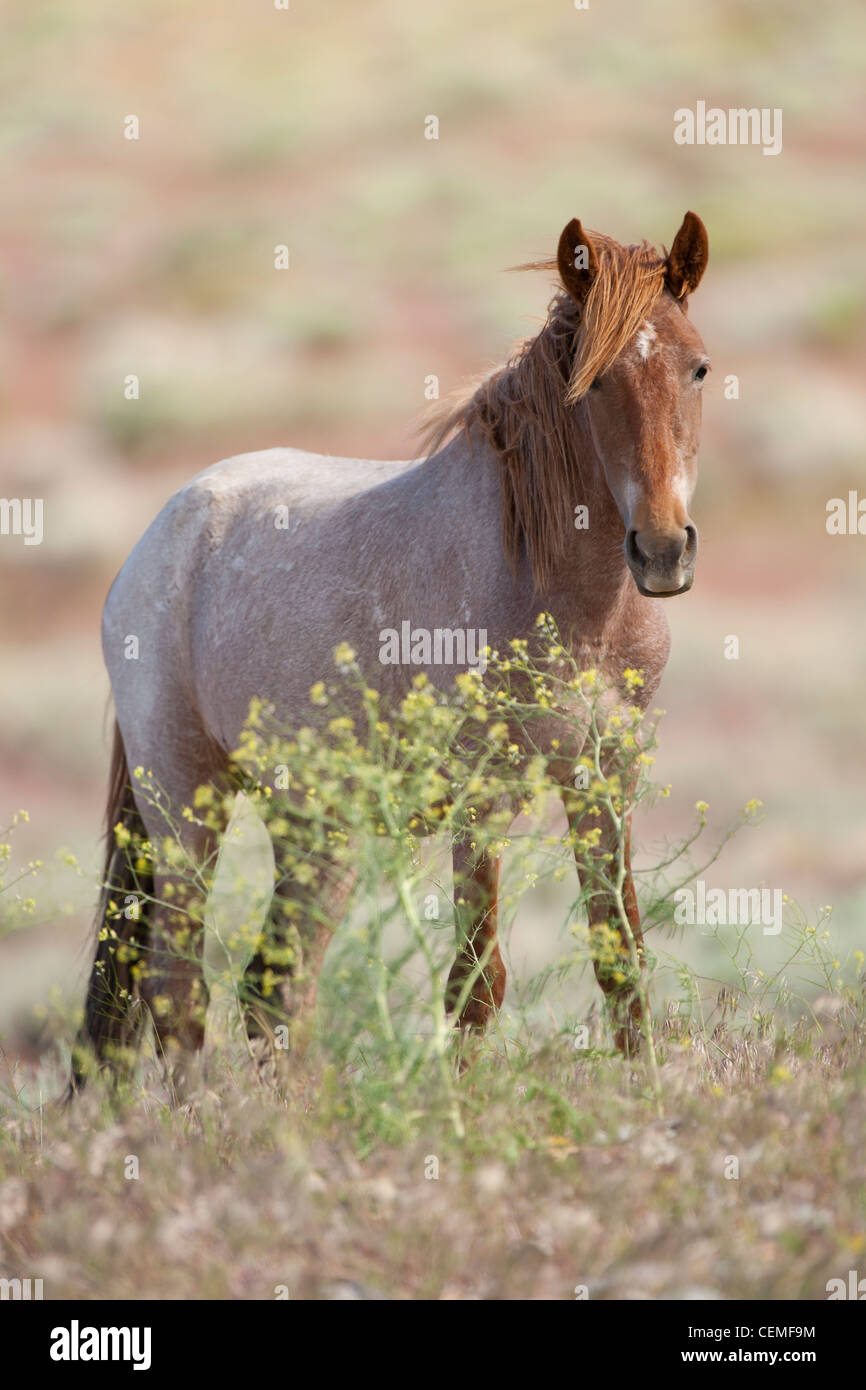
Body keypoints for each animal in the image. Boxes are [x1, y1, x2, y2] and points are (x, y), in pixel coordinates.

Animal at [72, 208, 711, 1095]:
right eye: (594, 383)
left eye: (698, 368)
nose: (662, 551)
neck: (572, 599)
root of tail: (156, 537)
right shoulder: (484, 797)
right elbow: (476, 983)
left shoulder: (603, 777)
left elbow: (622, 961)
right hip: (184, 806)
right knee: (178, 990)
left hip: (312, 826)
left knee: (274, 987)